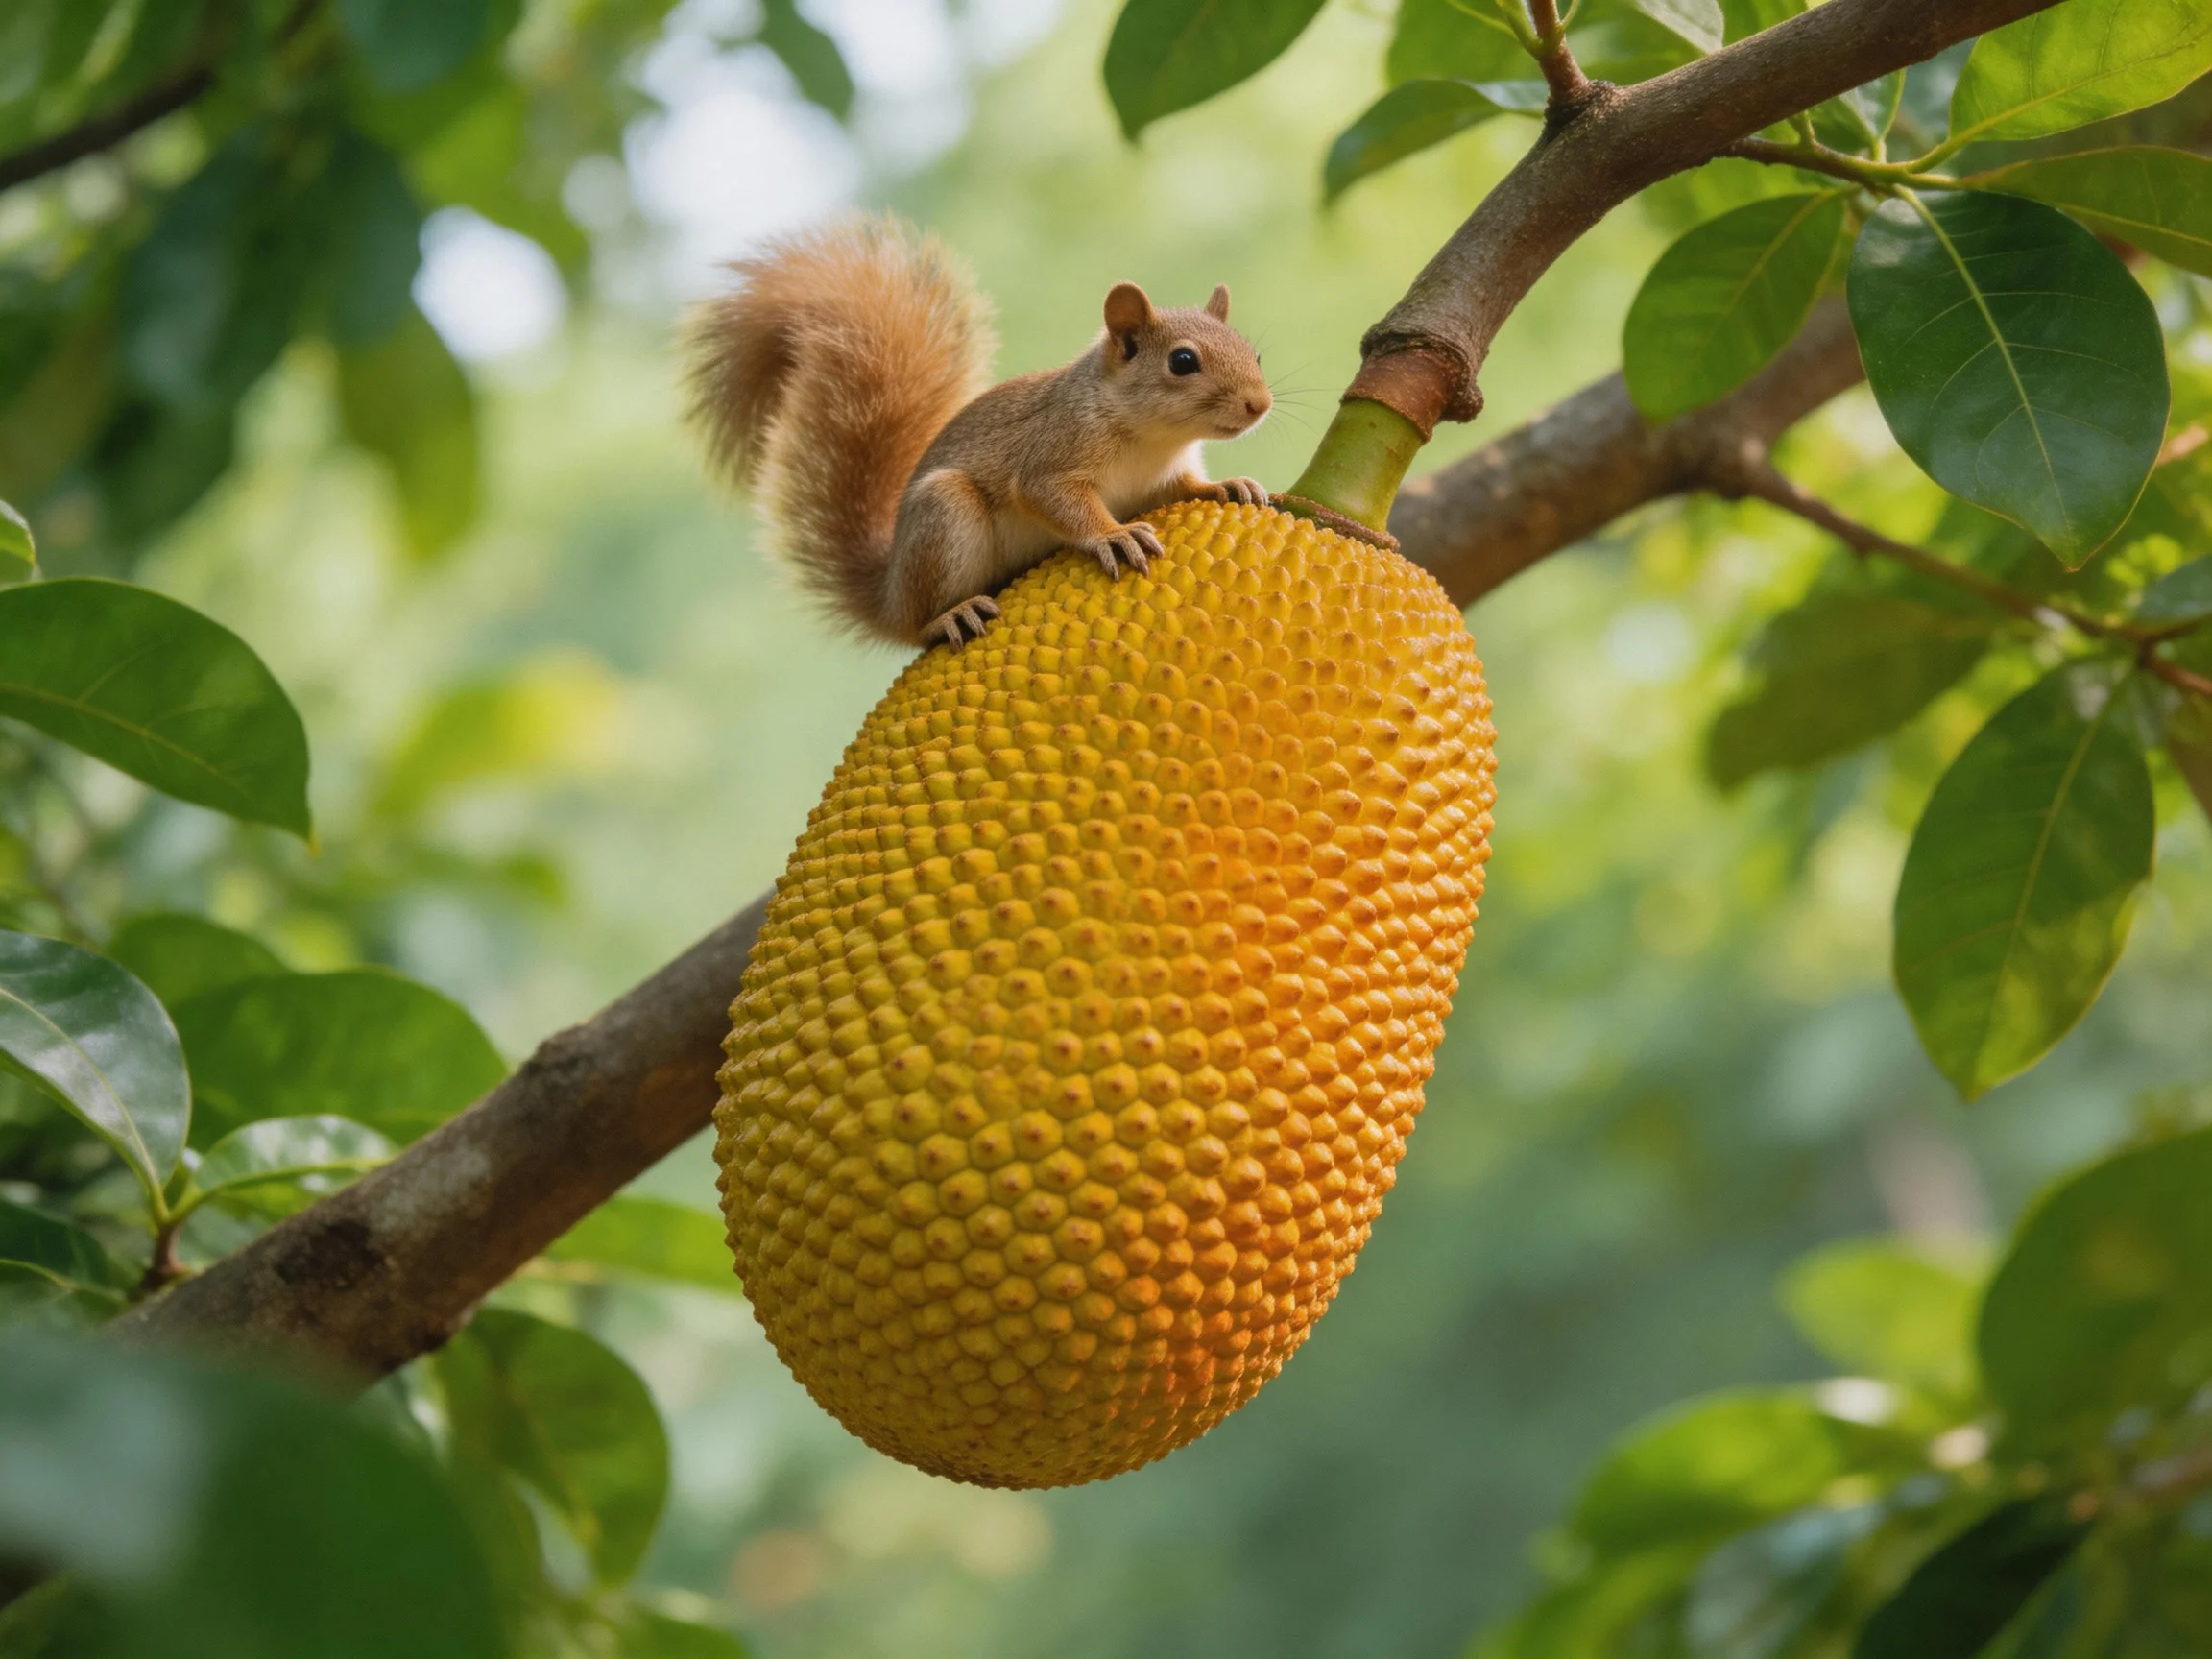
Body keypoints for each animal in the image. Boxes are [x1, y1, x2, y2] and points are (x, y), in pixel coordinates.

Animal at [683, 213, 1273, 650]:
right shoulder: (1052, 454)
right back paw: (950, 616)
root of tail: (890, 594)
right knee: (918, 628)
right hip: (946, 517)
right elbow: (1058, 500)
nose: (1260, 404)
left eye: (1256, 354)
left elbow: (1184, 488)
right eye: (1182, 361)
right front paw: (1113, 534)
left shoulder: (1161, 478)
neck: (1154, 438)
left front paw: (1228, 486)